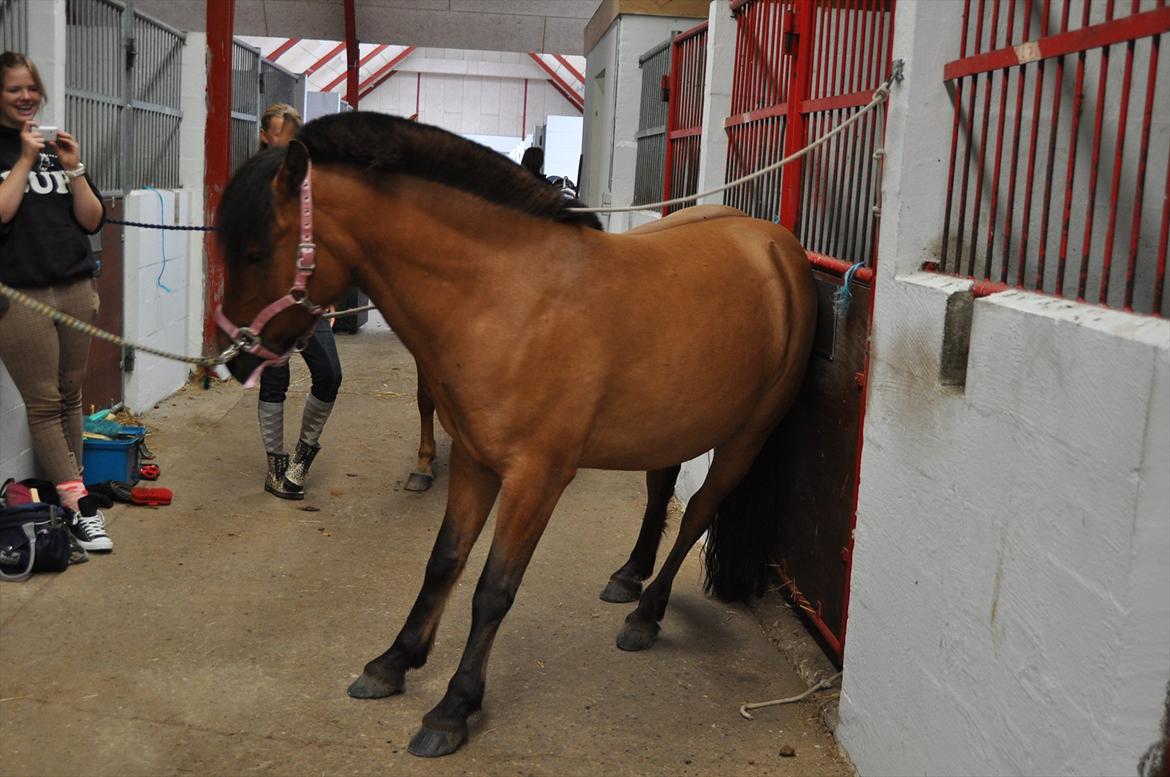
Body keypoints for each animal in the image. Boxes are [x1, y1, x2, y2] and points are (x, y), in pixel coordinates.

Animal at [212, 112, 814, 753]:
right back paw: (628, 577)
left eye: (255, 250)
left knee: (698, 510)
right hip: (672, 426)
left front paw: (453, 709)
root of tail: (777, 247)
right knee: (660, 491)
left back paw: (646, 615)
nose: (236, 361)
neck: (509, 299)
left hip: (746, 437)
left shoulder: (535, 481)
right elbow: (443, 563)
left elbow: (492, 591)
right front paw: (394, 663)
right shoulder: (475, 463)